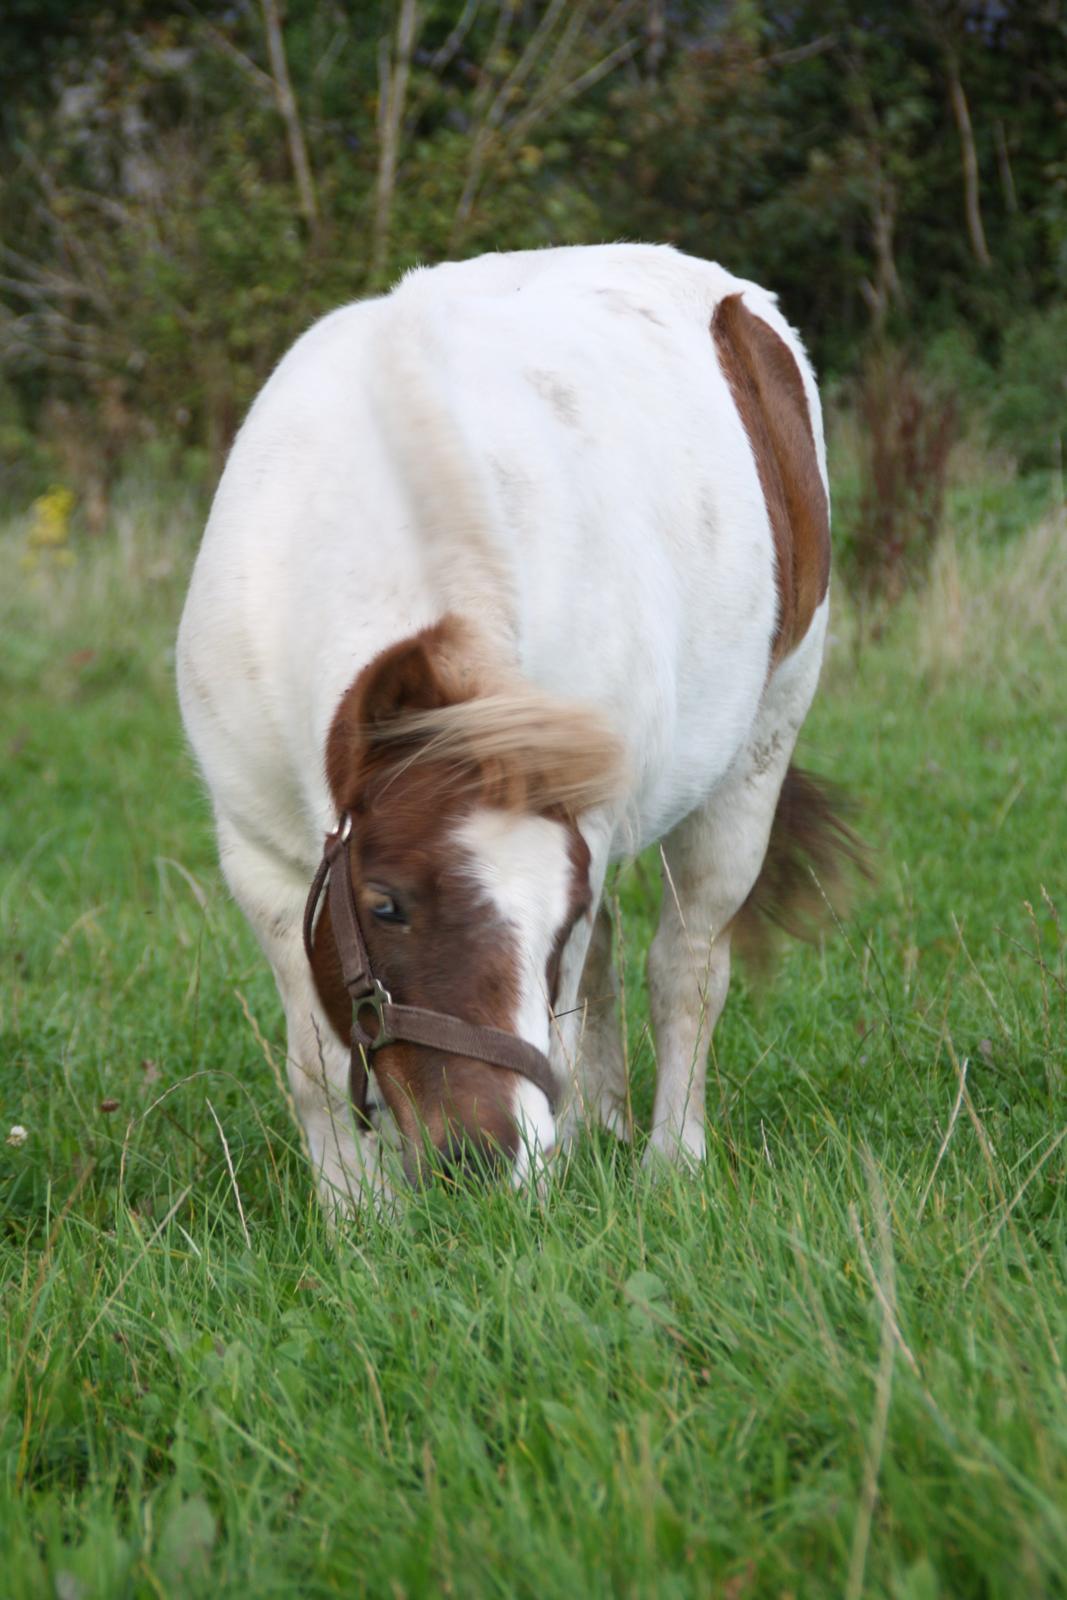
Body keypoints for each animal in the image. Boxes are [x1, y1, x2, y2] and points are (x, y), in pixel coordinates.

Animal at [179, 243, 857, 1203]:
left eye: (554, 918)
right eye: (384, 904)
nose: (486, 1158)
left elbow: (576, 1006)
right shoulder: (261, 857)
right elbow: (314, 1062)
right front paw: (358, 1215)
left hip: (755, 759)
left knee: (684, 964)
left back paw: (666, 1160)